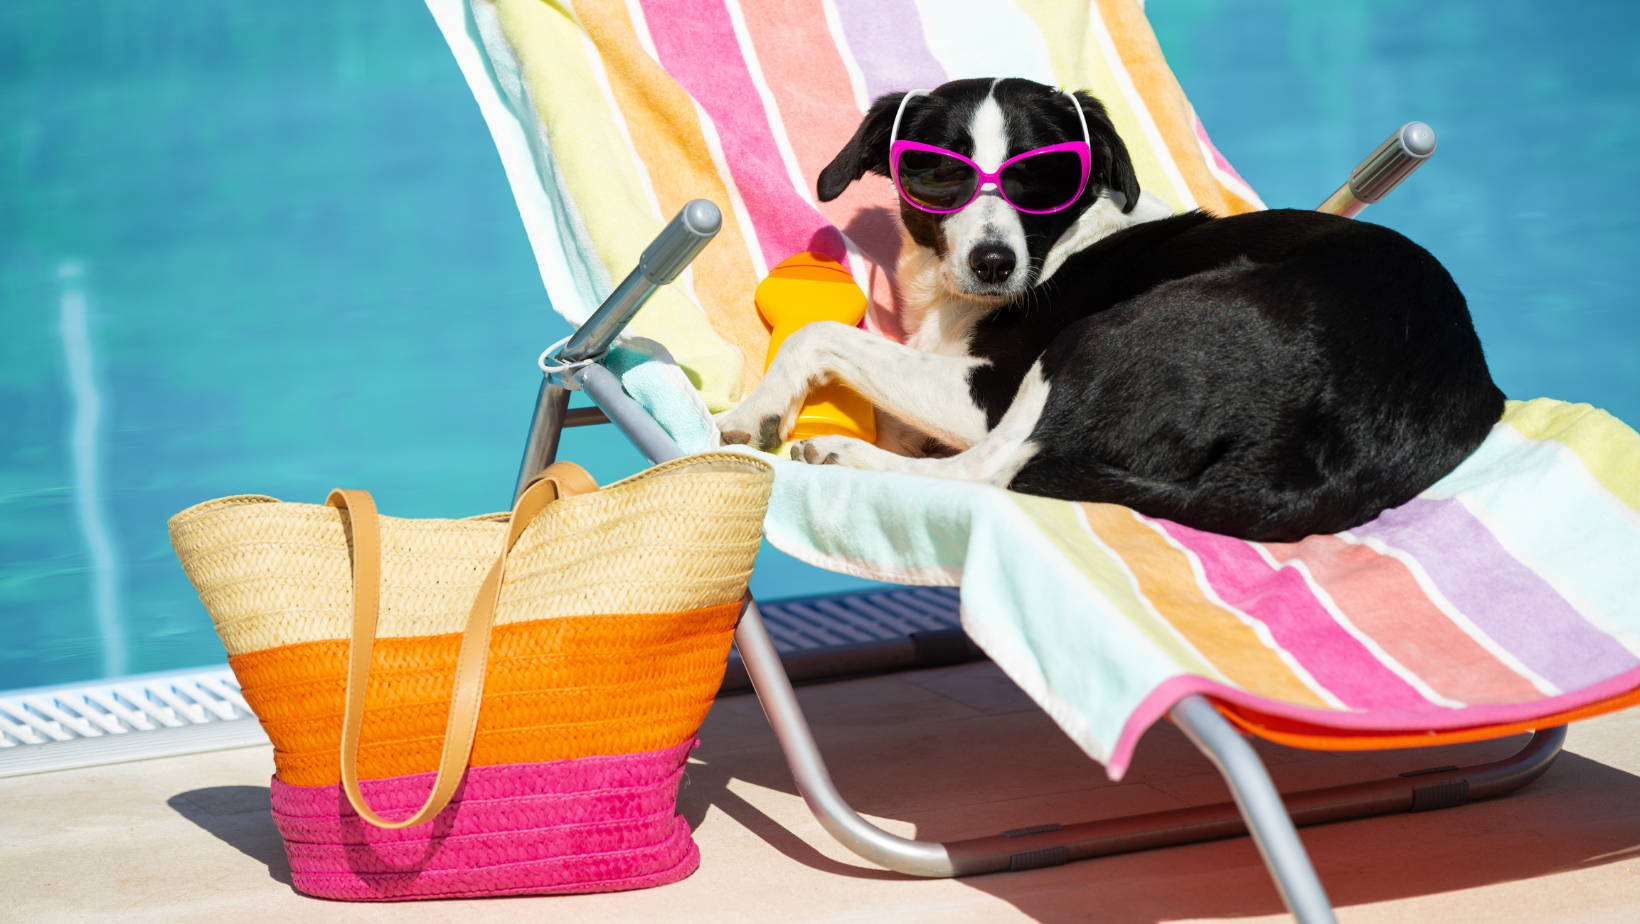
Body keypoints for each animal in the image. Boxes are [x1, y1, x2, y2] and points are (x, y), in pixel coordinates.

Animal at [718, 79, 1502, 544]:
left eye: (1044, 175)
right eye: (938, 172)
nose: (994, 264)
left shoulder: (986, 394)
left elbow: (819, 335)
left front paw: (753, 412)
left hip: (1096, 339)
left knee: (994, 470)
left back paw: (843, 454)